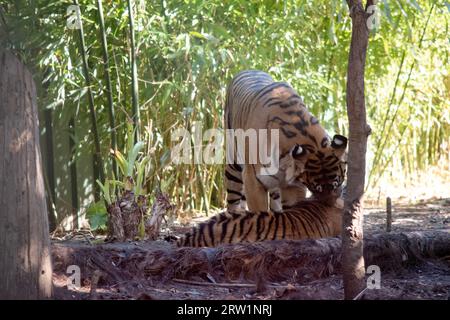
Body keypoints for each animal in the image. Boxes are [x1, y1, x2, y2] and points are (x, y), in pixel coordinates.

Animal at [225, 70, 348, 212]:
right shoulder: (253, 181)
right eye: (317, 188)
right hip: (233, 165)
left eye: (336, 184)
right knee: (232, 200)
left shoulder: (294, 186)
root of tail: (248, 70)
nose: (330, 206)